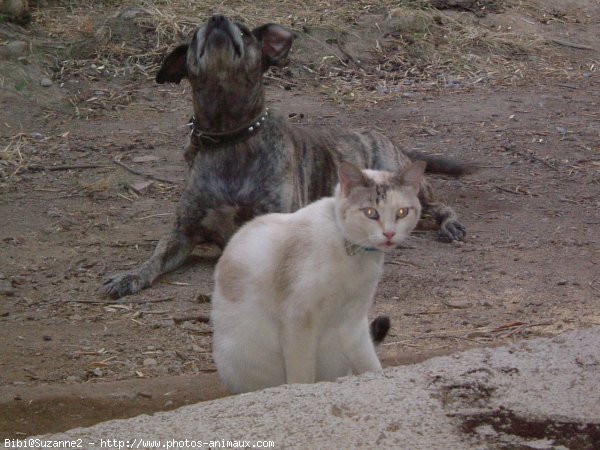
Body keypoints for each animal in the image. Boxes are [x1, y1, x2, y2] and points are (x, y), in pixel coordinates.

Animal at [103, 14, 468, 298]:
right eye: (194, 35)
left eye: (245, 31)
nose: (217, 19)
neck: (230, 137)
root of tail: (383, 137)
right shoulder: (184, 231)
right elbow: (157, 254)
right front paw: (130, 275)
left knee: (439, 207)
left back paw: (449, 225)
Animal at [211, 160, 426, 392]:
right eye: (370, 212)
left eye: (402, 212)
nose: (389, 234)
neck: (355, 254)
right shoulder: (300, 320)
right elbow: (302, 377)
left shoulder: (354, 322)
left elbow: (371, 366)